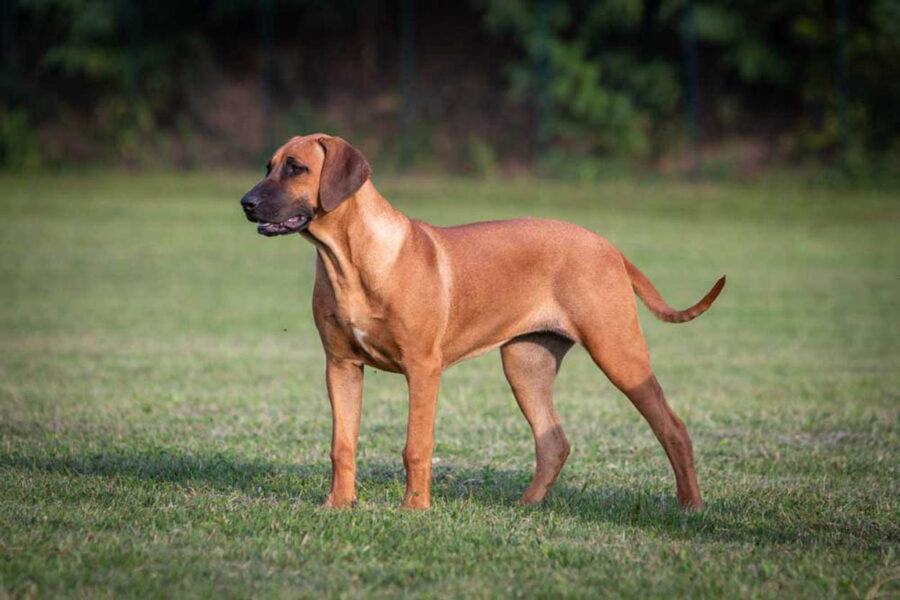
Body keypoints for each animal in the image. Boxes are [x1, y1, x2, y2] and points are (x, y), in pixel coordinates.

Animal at [241, 135, 724, 510]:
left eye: (296, 167)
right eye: (268, 166)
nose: (246, 203)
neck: (348, 259)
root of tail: (608, 246)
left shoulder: (423, 368)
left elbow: (416, 446)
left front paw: (415, 509)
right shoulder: (341, 365)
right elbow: (342, 444)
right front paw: (339, 505)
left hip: (618, 352)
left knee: (673, 429)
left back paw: (691, 506)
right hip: (526, 363)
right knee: (553, 441)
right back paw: (526, 506)